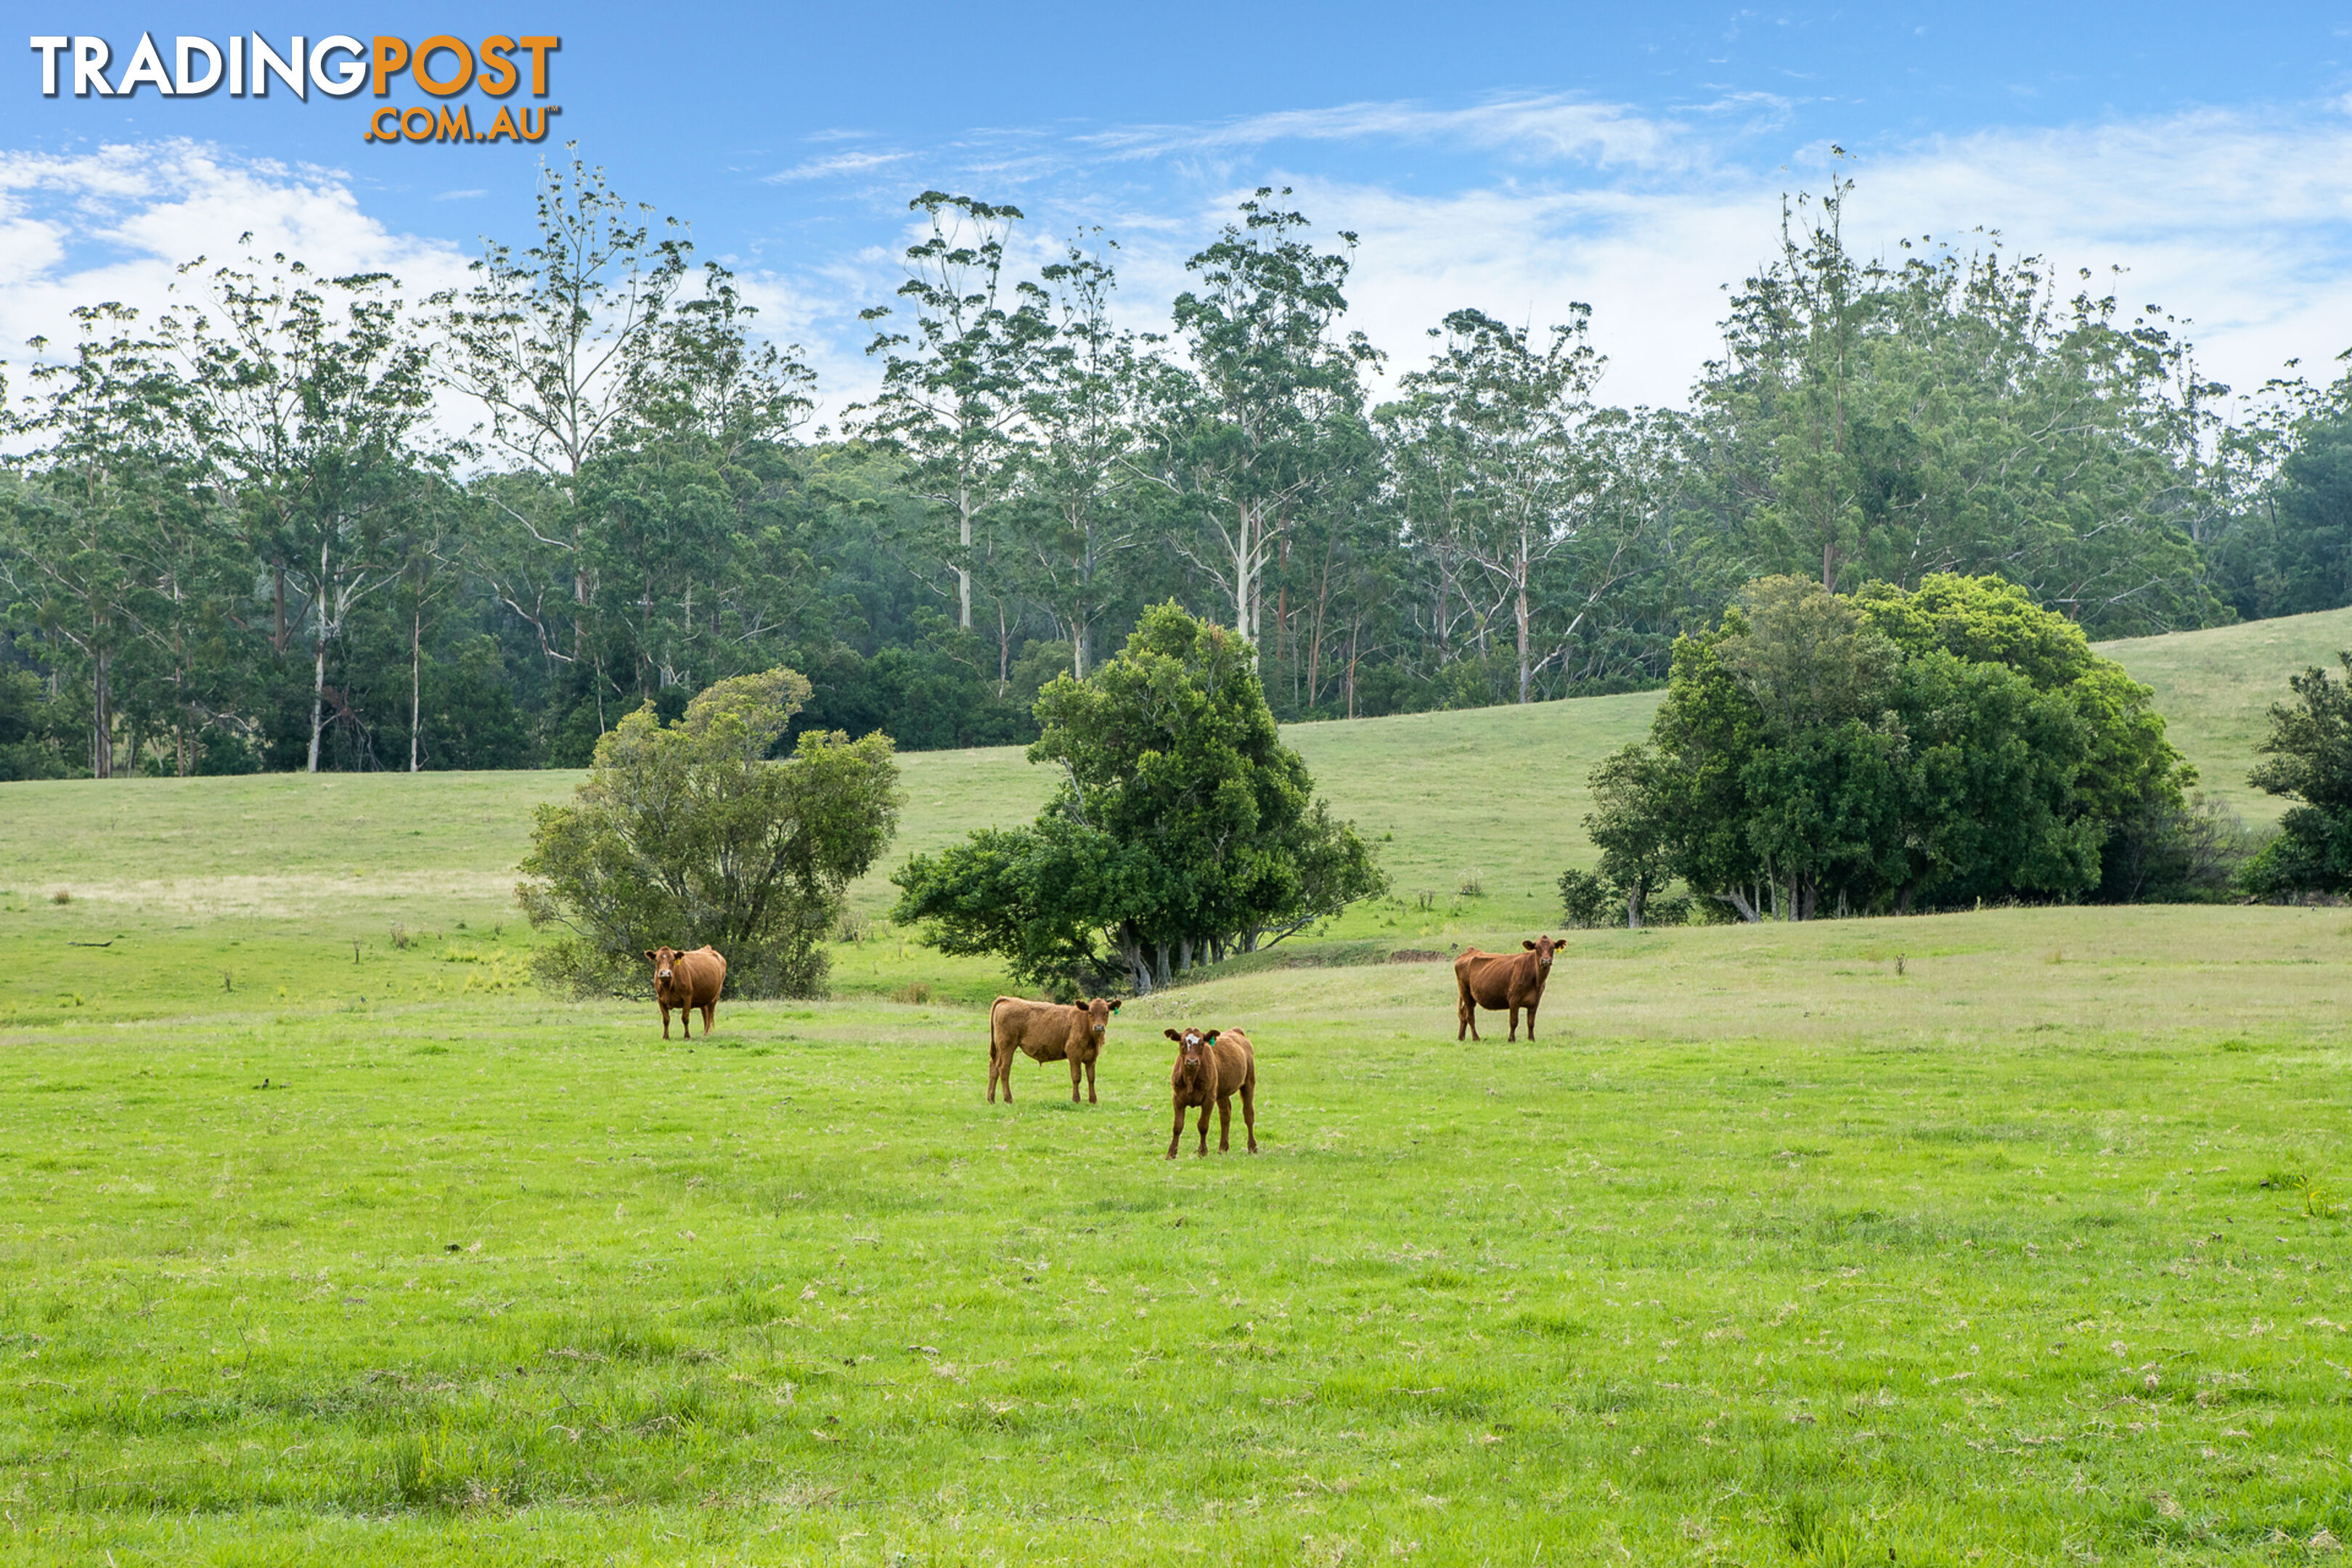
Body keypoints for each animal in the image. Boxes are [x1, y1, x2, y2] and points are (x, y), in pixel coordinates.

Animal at [644, 944, 724, 1043]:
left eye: (673, 960)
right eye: (656, 960)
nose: (665, 973)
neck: (668, 987)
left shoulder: (687, 998)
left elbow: (685, 1018)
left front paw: (687, 1036)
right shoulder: (660, 1000)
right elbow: (666, 1019)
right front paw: (666, 1037)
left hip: (715, 996)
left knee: (710, 1014)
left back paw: (707, 1032)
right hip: (704, 998)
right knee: (705, 1013)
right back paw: (705, 1032)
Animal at [978, 992, 1114, 1105]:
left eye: (1106, 1012)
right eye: (1090, 1012)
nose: (1099, 1027)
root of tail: (1008, 999)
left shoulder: (1092, 1058)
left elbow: (1091, 1078)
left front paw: (1093, 1100)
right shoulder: (1074, 1055)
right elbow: (1076, 1077)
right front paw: (1076, 1099)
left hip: (999, 1049)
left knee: (994, 1068)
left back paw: (991, 1099)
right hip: (1007, 1046)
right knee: (1004, 1069)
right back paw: (1008, 1099)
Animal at [1167, 1024, 1260, 1161]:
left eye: (1202, 1043)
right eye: (1182, 1043)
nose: (1192, 1061)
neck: (1190, 1079)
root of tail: (1236, 1031)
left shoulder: (1209, 1099)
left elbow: (1203, 1125)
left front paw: (1202, 1152)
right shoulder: (1177, 1099)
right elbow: (1177, 1126)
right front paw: (1171, 1154)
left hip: (1249, 1082)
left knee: (1248, 1114)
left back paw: (1252, 1147)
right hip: (1222, 1091)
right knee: (1225, 1114)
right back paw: (1223, 1148)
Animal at [1448, 931, 1561, 1043]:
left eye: (1552, 947)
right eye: (1537, 948)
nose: (1546, 961)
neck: (1536, 981)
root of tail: (1470, 951)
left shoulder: (1535, 1001)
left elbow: (1531, 1022)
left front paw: (1531, 1039)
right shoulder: (1513, 999)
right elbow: (1514, 1021)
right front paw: (1511, 1040)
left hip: (1471, 996)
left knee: (1464, 1014)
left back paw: (1461, 1037)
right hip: (1466, 992)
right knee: (1470, 1016)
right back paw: (1476, 1038)